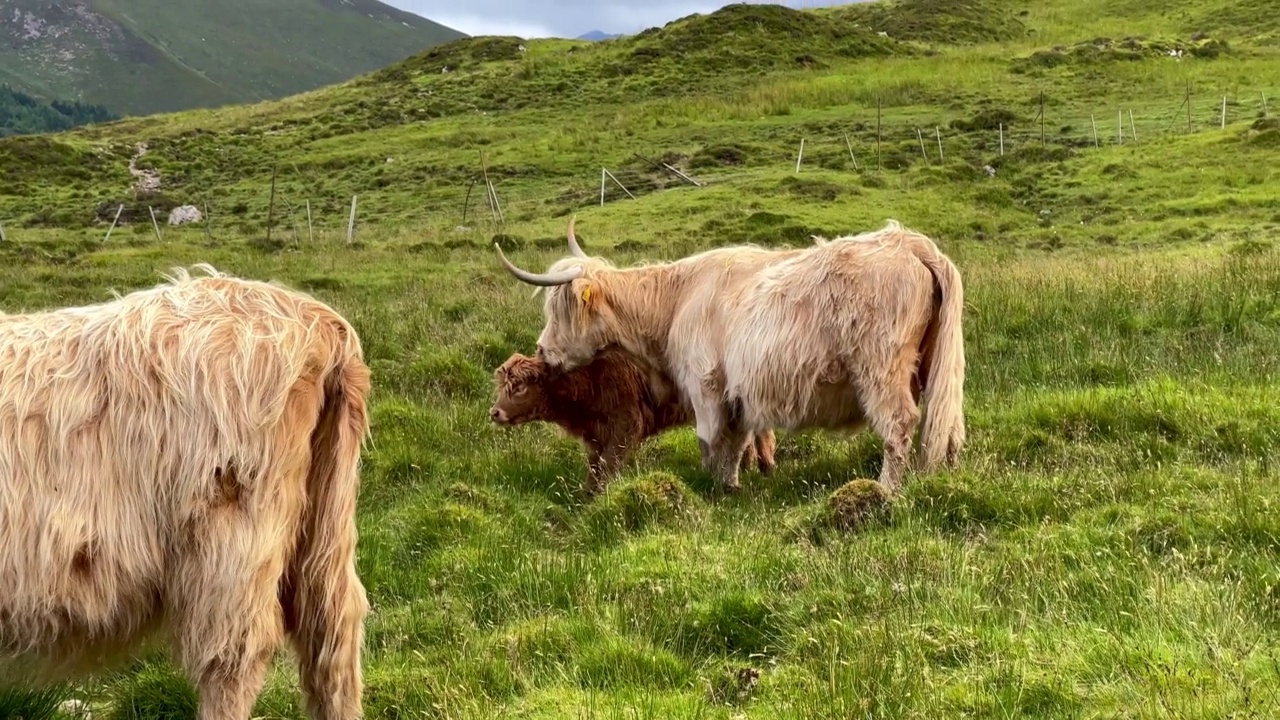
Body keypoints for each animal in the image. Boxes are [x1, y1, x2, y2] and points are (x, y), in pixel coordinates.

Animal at [486, 348, 773, 491]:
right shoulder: (596, 434)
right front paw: (586, 494)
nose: (495, 412)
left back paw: (763, 467)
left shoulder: (626, 423)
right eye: (503, 386)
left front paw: (600, 496)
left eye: (520, 387)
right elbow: (595, 466)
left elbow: (608, 465)